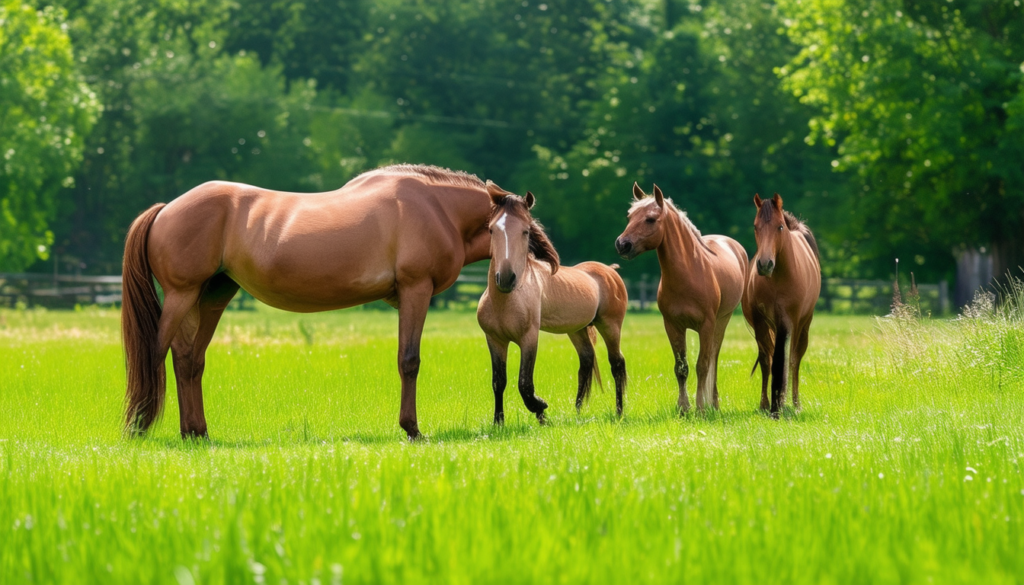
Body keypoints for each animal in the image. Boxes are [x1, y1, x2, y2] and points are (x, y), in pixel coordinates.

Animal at [121, 164, 498, 441]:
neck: (437, 207)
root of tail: (165, 209)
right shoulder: (415, 289)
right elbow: (409, 360)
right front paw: (412, 429)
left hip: (210, 296)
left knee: (188, 360)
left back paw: (195, 433)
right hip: (181, 295)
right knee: (155, 353)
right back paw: (139, 428)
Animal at [476, 188, 628, 423]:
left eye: (526, 231)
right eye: (492, 229)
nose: (506, 278)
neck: (505, 302)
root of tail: (611, 271)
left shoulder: (529, 338)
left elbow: (525, 384)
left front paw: (541, 410)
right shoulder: (495, 340)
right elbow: (498, 382)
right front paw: (498, 423)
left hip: (610, 326)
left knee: (617, 364)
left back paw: (619, 412)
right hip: (577, 331)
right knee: (586, 362)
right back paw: (577, 412)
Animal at [614, 183, 747, 413]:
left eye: (650, 219)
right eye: (629, 216)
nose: (622, 244)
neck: (689, 274)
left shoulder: (706, 326)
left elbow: (702, 365)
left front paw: (701, 407)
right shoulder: (673, 326)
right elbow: (681, 368)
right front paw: (683, 407)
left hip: (722, 321)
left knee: (714, 358)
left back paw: (713, 404)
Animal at [742, 193, 821, 418]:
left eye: (779, 227)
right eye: (755, 226)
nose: (764, 264)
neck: (778, 277)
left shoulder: (786, 321)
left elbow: (781, 361)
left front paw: (777, 408)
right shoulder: (761, 322)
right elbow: (767, 361)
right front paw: (766, 404)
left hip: (803, 325)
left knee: (794, 359)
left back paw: (794, 403)